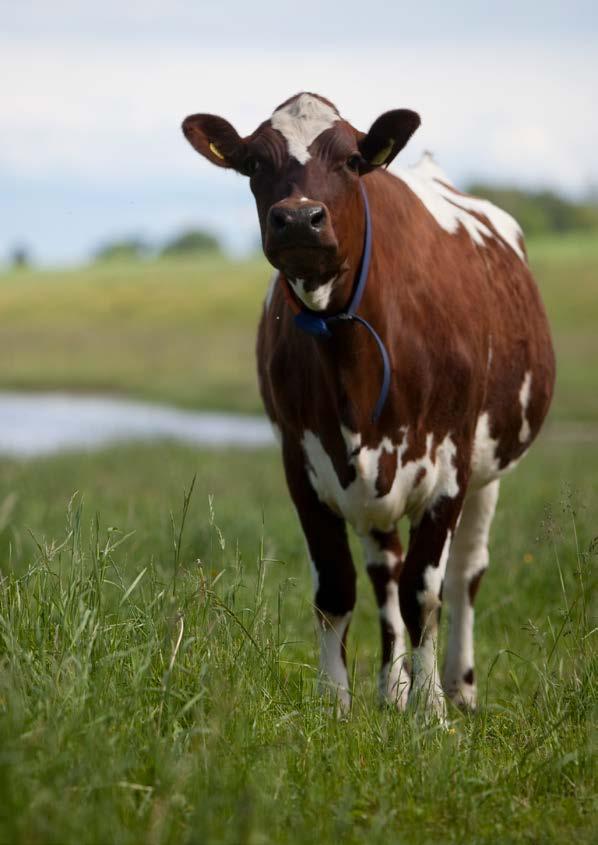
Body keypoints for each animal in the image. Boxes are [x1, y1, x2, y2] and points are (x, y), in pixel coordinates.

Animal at [183, 94, 556, 720]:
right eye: (254, 163)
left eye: (353, 161)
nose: (298, 218)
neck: (347, 351)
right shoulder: (302, 462)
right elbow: (338, 588)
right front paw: (337, 705)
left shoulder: (450, 463)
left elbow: (424, 591)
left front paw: (432, 713)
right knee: (386, 570)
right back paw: (392, 687)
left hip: (489, 467)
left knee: (464, 574)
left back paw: (461, 689)